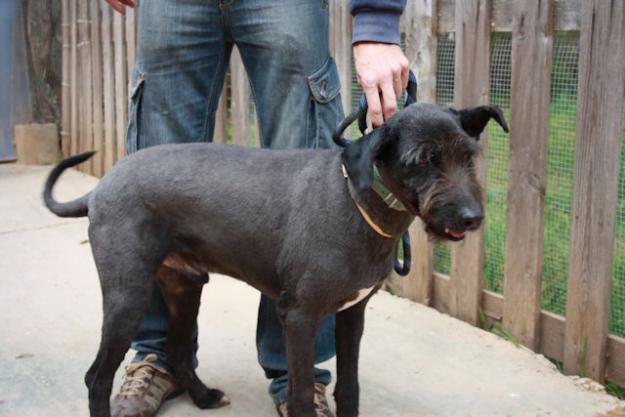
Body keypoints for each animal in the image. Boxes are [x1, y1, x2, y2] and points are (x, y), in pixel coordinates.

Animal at [42, 101, 508, 416]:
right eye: (423, 161)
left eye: (468, 157)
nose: (473, 218)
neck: (356, 201)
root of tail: (101, 186)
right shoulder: (299, 317)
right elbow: (299, 394)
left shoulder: (352, 315)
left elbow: (349, 387)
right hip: (128, 297)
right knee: (97, 378)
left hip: (185, 287)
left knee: (176, 352)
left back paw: (204, 397)